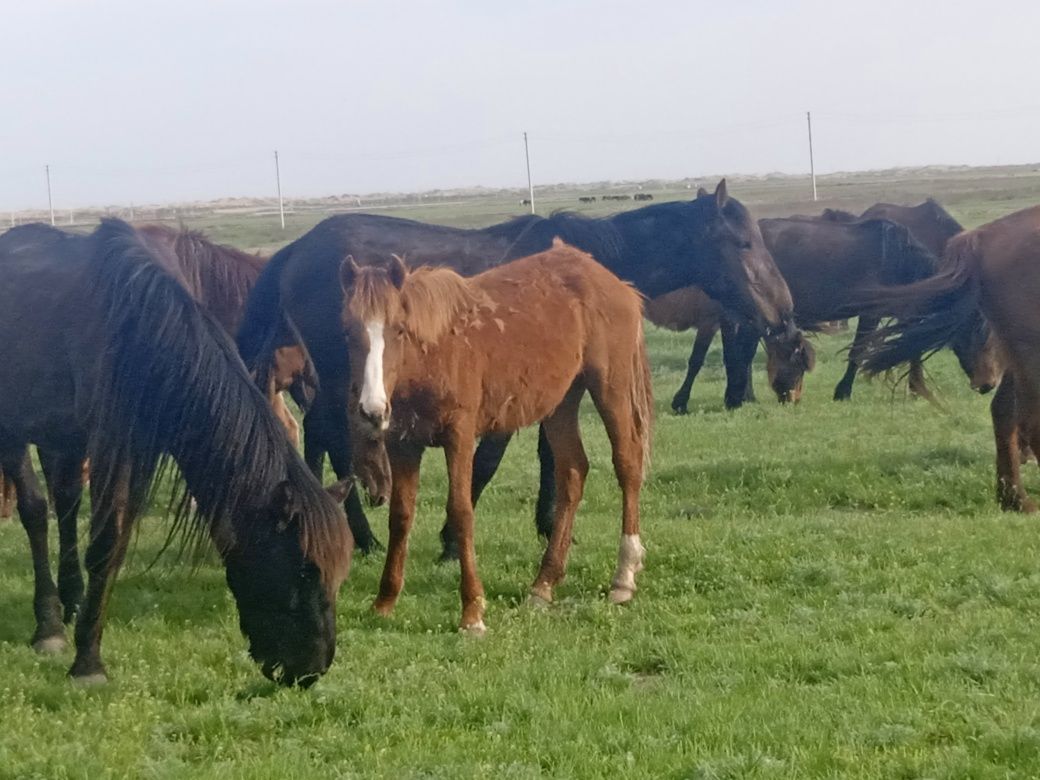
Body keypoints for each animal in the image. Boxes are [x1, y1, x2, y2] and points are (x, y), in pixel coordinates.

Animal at [0, 218, 353, 682]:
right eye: (303, 571)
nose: (311, 669)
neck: (143, 329)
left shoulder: (134, 448)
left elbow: (112, 544)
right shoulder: (113, 446)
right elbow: (104, 543)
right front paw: (87, 663)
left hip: (64, 438)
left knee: (67, 505)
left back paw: (71, 600)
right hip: (15, 430)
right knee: (37, 513)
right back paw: (49, 625)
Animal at [341, 243, 648, 636]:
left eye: (398, 330)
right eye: (349, 332)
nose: (372, 410)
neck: (436, 352)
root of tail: (615, 283)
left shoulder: (459, 437)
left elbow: (461, 512)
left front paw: (472, 612)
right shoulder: (402, 444)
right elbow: (401, 515)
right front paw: (384, 602)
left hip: (611, 387)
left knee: (627, 463)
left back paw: (623, 577)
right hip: (562, 402)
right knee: (572, 472)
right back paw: (543, 585)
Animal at [644, 284, 815, 411]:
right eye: (798, 366)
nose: (795, 400)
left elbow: (737, 357)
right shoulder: (711, 322)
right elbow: (698, 361)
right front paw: (680, 403)